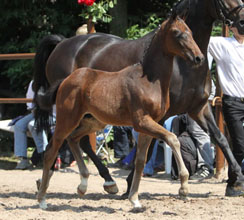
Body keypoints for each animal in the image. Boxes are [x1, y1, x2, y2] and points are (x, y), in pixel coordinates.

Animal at [36, 14, 204, 209]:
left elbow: (140, 161)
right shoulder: (142, 122)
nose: (199, 58)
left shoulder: (148, 126)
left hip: (94, 121)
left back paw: (84, 184)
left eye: (190, 32)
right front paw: (184, 188)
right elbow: (173, 139)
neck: (150, 80)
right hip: (67, 119)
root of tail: (65, 80)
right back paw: (42, 199)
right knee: (51, 151)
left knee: (74, 139)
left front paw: (135, 200)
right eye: (177, 33)